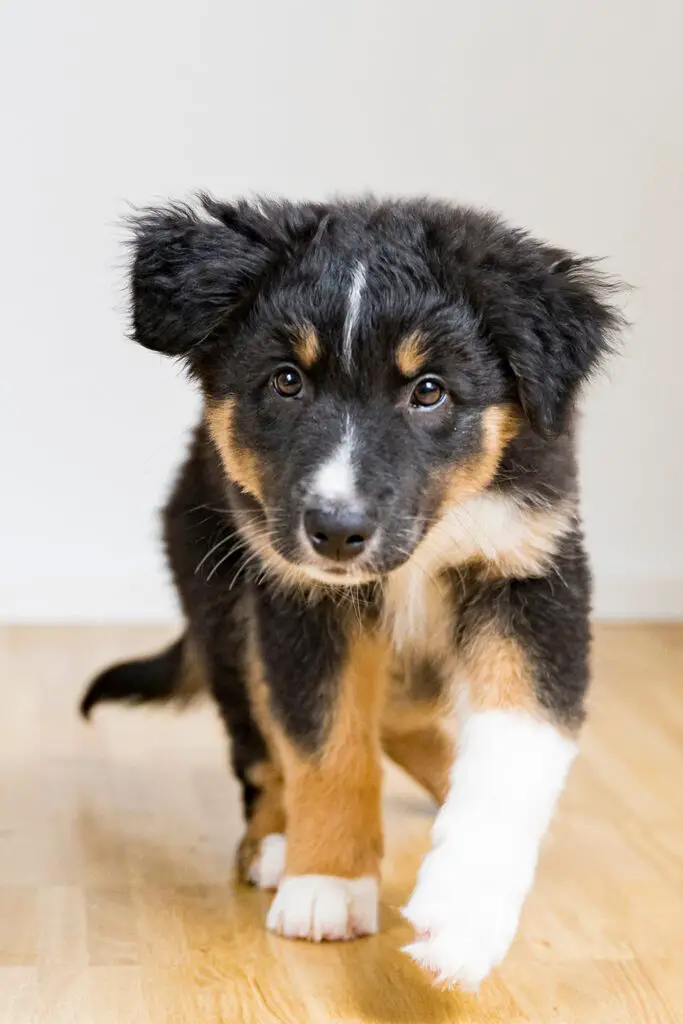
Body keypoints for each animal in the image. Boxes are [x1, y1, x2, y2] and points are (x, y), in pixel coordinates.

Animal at [80, 195, 618, 987]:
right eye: (286, 381)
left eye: (429, 391)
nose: (336, 531)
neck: (427, 543)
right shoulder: (298, 602)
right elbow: (325, 742)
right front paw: (326, 884)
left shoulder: (530, 571)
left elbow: (513, 747)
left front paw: (464, 915)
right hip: (220, 599)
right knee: (262, 752)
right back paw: (273, 842)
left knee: (401, 719)